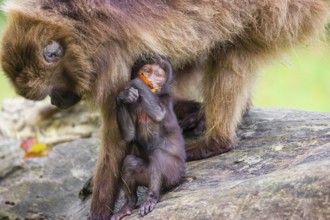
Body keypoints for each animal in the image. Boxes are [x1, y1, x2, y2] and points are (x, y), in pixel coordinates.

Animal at [113, 55, 186, 219]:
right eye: (147, 70)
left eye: (159, 75)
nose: (150, 79)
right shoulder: (132, 106)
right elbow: (129, 135)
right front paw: (124, 95)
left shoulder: (165, 99)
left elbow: (159, 114)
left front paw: (138, 82)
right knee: (129, 162)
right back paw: (129, 204)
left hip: (176, 174)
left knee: (158, 156)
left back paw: (151, 197)